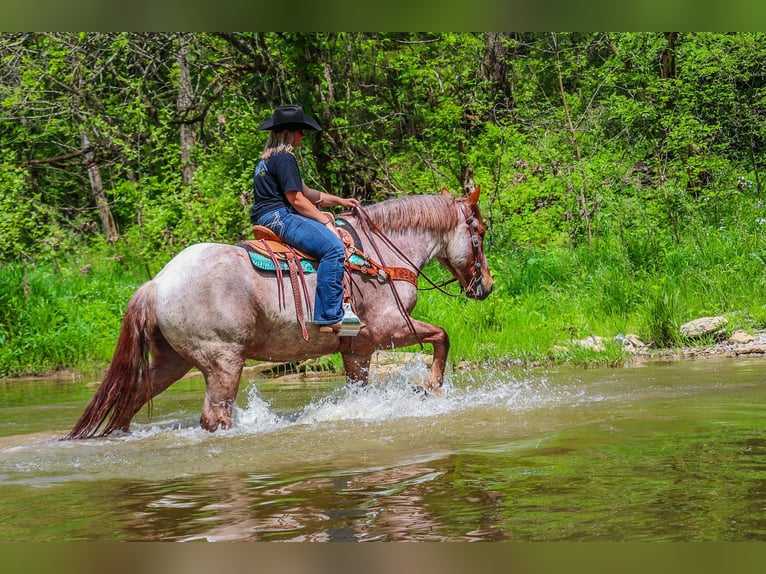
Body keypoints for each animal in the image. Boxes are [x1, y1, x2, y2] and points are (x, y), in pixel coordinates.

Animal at [67, 187, 498, 438]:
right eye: (479, 233)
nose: (487, 285)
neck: (382, 254)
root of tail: (157, 283)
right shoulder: (388, 329)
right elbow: (442, 336)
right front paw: (432, 388)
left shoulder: (357, 349)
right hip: (223, 361)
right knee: (213, 417)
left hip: (173, 361)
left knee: (133, 395)